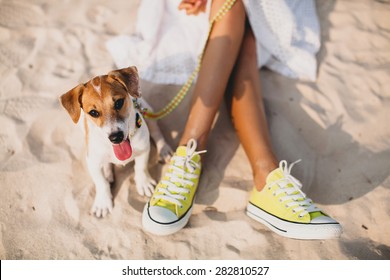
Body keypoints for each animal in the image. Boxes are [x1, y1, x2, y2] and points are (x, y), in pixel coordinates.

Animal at [59, 66, 172, 218]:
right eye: (93, 112)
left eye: (119, 103)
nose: (116, 137)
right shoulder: (93, 162)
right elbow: (101, 183)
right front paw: (103, 202)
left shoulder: (144, 148)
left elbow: (141, 167)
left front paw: (144, 183)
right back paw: (108, 172)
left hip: (148, 111)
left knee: (157, 132)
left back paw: (164, 149)